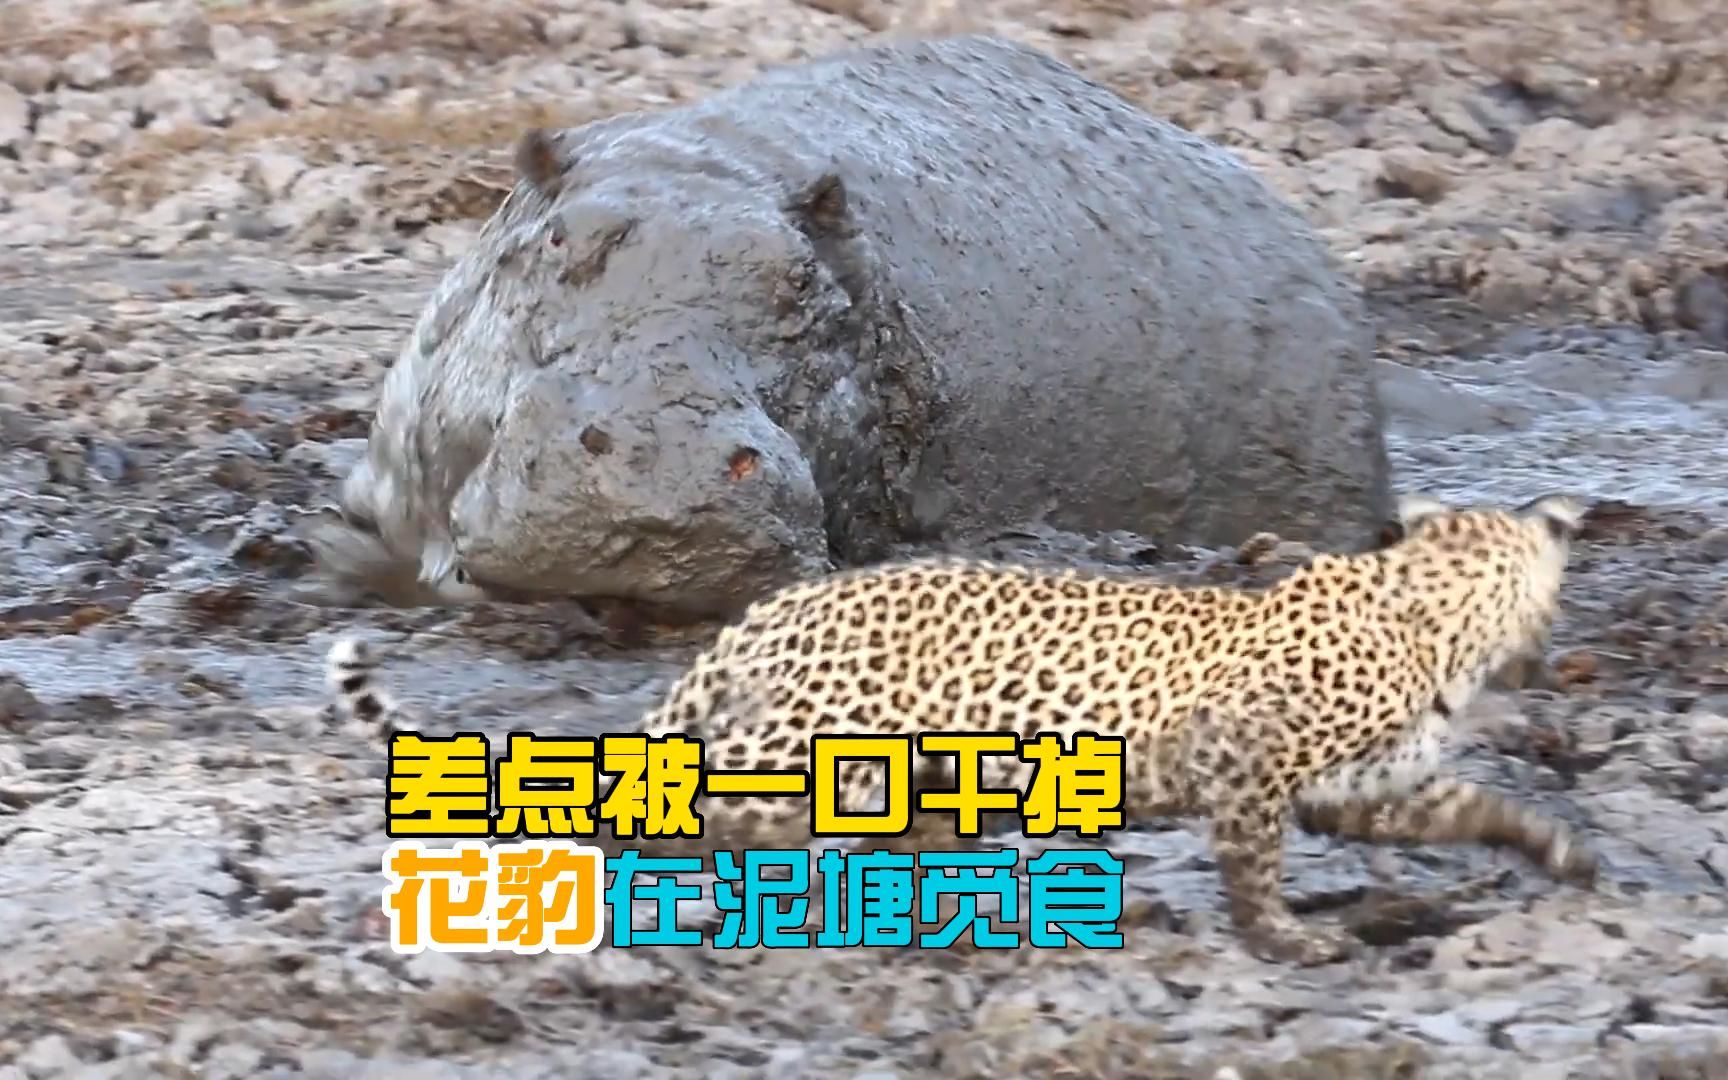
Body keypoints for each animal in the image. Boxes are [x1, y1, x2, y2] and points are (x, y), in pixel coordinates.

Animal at [321, 487, 1589, 960]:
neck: (1438, 619)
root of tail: (765, 614)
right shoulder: (1248, 761)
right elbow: (1252, 863)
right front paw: (1283, 937)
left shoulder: (1366, 785)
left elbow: (1471, 803)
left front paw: (1560, 853)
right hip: (815, 746)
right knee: (705, 806)